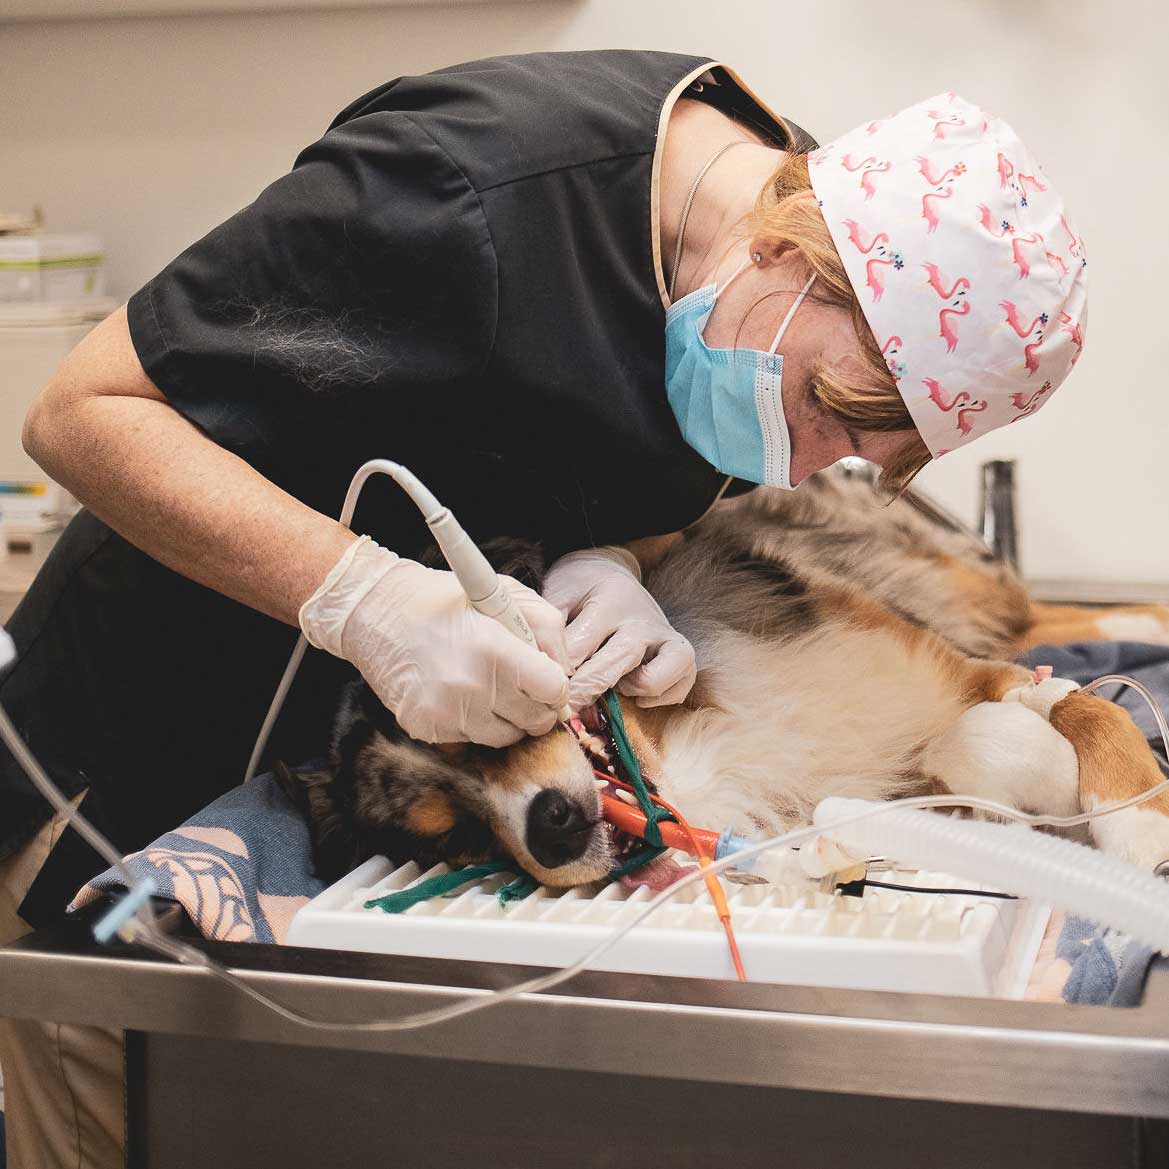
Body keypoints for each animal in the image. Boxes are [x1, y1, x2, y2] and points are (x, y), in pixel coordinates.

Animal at [278, 469, 1169, 888]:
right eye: (455, 837)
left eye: (492, 726)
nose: (551, 827)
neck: (706, 733)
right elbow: (973, 750)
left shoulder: (953, 668)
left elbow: (1090, 712)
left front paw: (1139, 826)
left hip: (941, 586)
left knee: (1052, 616)